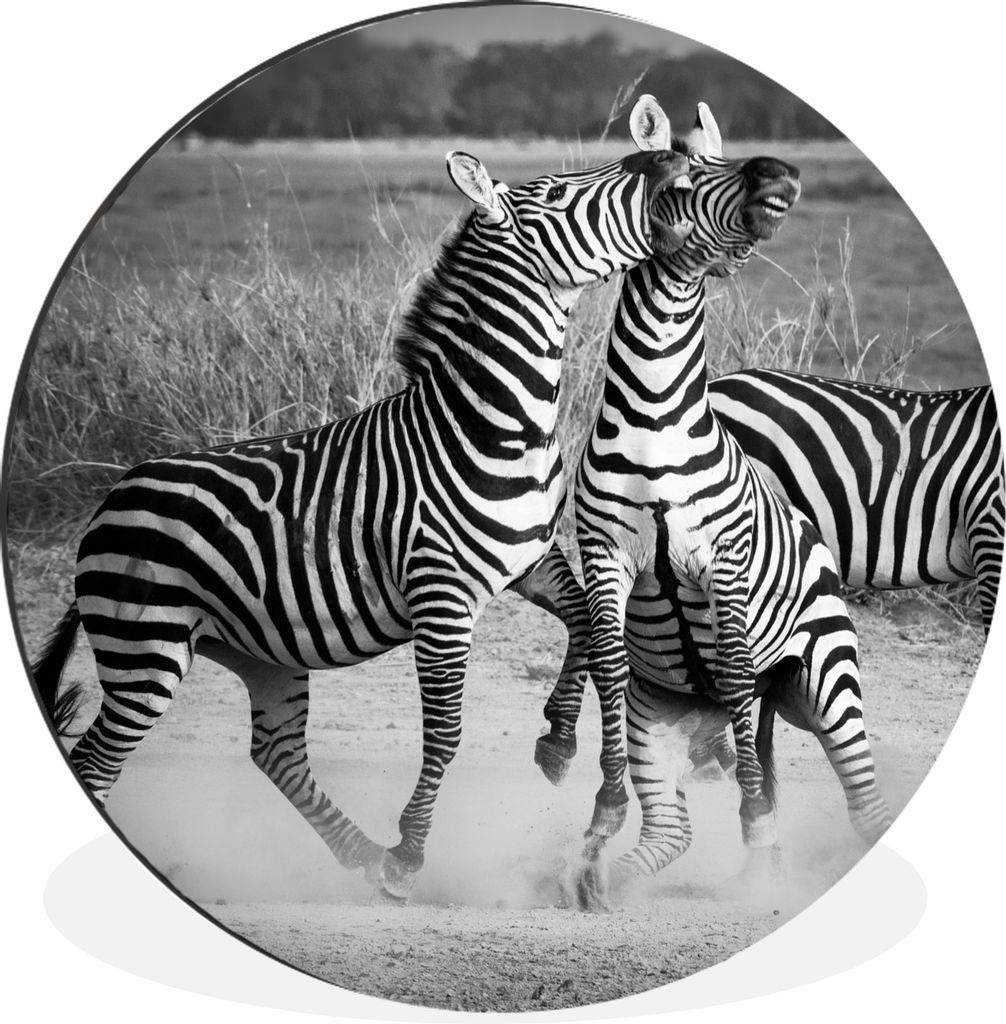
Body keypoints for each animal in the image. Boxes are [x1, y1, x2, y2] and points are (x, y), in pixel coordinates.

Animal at [31, 137, 693, 901]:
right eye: (555, 193)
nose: (661, 157)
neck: (496, 426)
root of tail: (112, 500)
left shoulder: (529, 561)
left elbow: (591, 633)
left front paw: (568, 754)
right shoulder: (442, 591)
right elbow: (446, 729)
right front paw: (413, 851)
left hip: (256, 650)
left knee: (276, 751)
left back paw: (363, 853)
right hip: (147, 648)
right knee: (100, 758)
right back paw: (371, 857)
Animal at [570, 96, 893, 907]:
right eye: (686, 176)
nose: (778, 172)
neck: (655, 417)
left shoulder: (725, 560)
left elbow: (742, 677)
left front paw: (758, 829)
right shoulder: (606, 558)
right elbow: (608, 670)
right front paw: (600, 820)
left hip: (825, 685)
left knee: (858, 797)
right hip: (664, 716)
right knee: (670, 831)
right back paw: (603, 878)